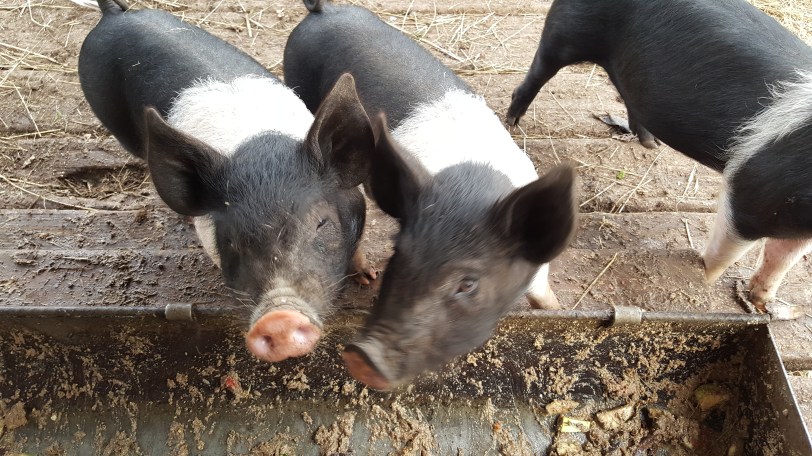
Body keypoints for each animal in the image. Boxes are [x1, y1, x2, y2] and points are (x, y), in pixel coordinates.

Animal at [77, 0, 377, 362]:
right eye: (230, 239)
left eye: (322, 223)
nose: (279, 317)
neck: (258, 148)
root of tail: (112, 14)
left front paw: (368, 276)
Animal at [284, 0, 577, 390]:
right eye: (398, 254)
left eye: (468, 283)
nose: (361, 356)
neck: (472, 183)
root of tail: (322, 11)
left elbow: (543, 295)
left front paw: (560, 311)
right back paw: (365, 275)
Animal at [507, 0, 812, 312]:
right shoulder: (754, 190)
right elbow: (728, 249)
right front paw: (705, 280)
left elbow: (784, 255)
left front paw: (761, 300)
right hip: (566, 33)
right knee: (536, 74)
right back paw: (512, 122)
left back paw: (651, 144)